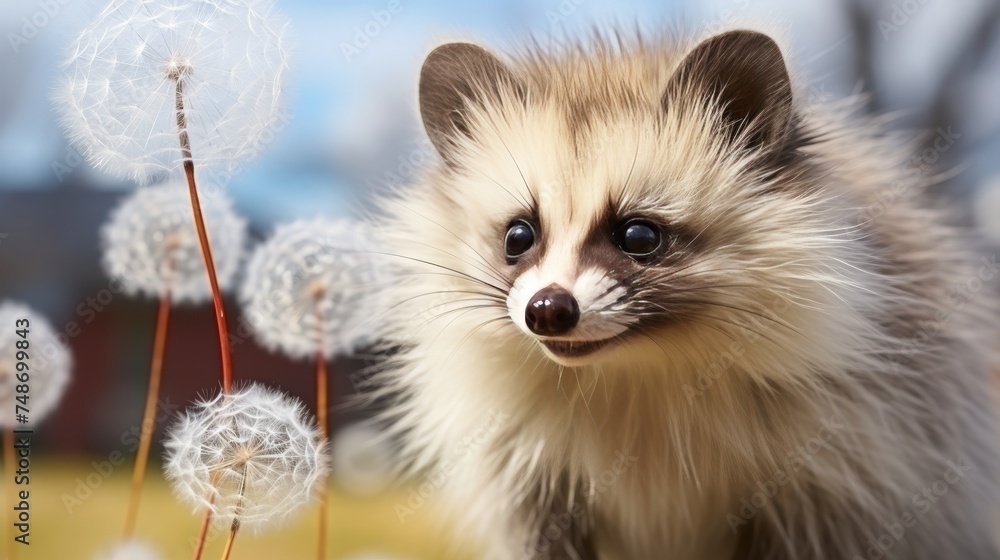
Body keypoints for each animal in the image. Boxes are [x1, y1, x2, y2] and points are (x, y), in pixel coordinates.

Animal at [371, 28, 1000, 559]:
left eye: (639, 235)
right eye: (518, 236)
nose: (547, 310)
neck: (638, 369)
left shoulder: (847, 474)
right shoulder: (527, 487)